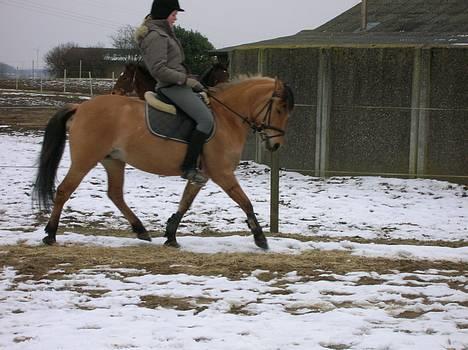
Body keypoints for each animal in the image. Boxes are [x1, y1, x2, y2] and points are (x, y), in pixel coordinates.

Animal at [33, 76, 294, 249]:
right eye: (280, 109)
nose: (276, 145)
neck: (226, 118)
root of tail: (81, 107)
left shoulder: (202, 174)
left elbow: (185, 203)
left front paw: (171, 236)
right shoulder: (223, 174)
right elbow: (245, 202)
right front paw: (260, 238)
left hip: (113, 161)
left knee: (115, 194)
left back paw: (141, 230)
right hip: (85, 159)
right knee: (64, 190)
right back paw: (50, 234)